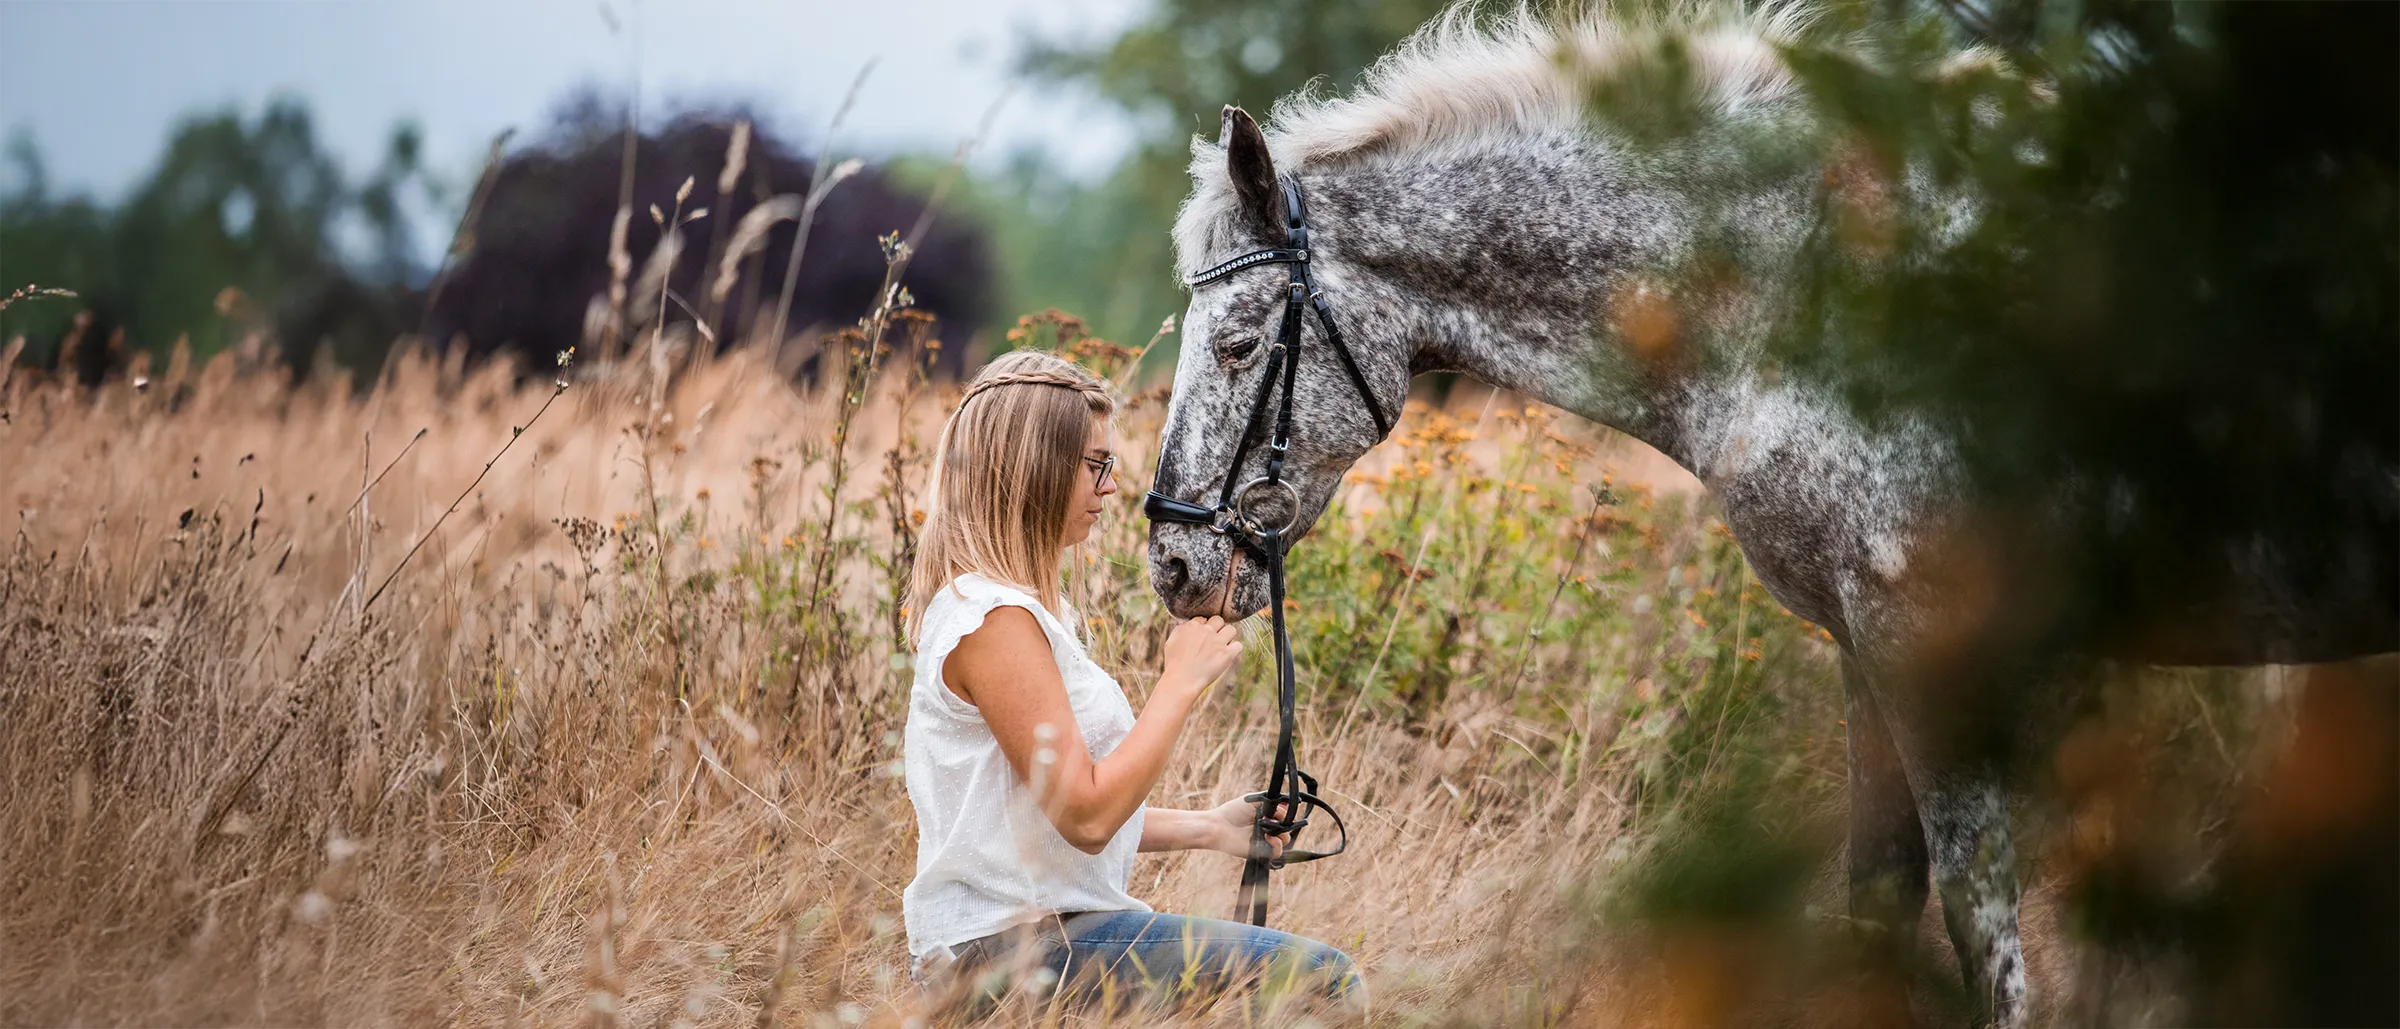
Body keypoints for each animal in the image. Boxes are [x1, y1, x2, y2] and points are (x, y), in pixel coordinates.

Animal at [1141, 4, 2400, 1025]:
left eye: (1242, 343)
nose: (1171, 563)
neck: (1829, 277)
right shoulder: (1863, 651)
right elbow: (1883, 903)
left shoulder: (1930, 642)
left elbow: (1985, 933)